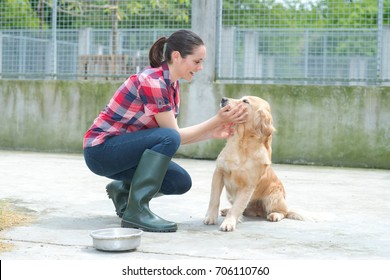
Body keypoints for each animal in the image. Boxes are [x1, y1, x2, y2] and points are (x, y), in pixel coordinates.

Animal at [203, 96, 306, 232]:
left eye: (245, 101)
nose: (223, 99)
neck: (242, 143)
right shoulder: (219, 172)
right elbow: (214, 199)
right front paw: (210, 217)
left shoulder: (248, 185)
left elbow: (237, 206)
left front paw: (229, 223)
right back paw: (227, 210)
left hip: (273, 196)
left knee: (284, 212)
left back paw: (275, 215)